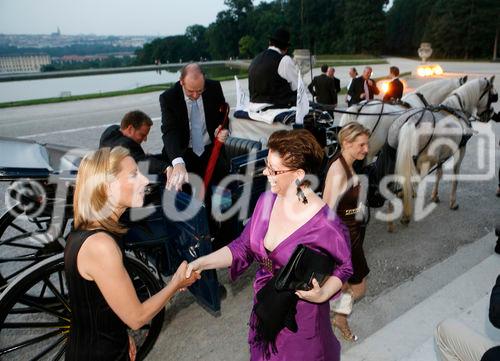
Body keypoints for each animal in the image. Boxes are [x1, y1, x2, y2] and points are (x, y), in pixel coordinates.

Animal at [394, 76, 496, 225]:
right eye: (493, 96)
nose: (489, 116)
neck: (456, 109)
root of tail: (412, 121)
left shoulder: (442, 154)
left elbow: (439, 173)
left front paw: (435, 196)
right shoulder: (461, 150)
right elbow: (455, 176)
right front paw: (453, 202)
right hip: (423, 161)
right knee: (410, 180)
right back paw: (406, 211)